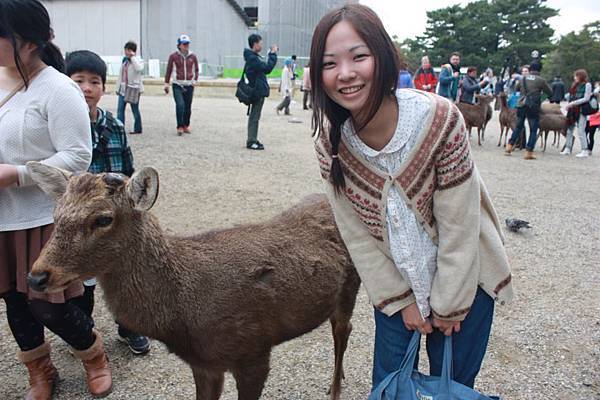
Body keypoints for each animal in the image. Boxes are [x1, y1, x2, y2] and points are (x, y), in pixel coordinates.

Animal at [24, 162, 360, 400]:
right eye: (55, 214)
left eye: (103, 219)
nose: (36, 276)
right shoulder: (203, 363)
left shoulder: (254, 350)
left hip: (353, 285)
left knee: (344, 330)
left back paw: (335, 389)